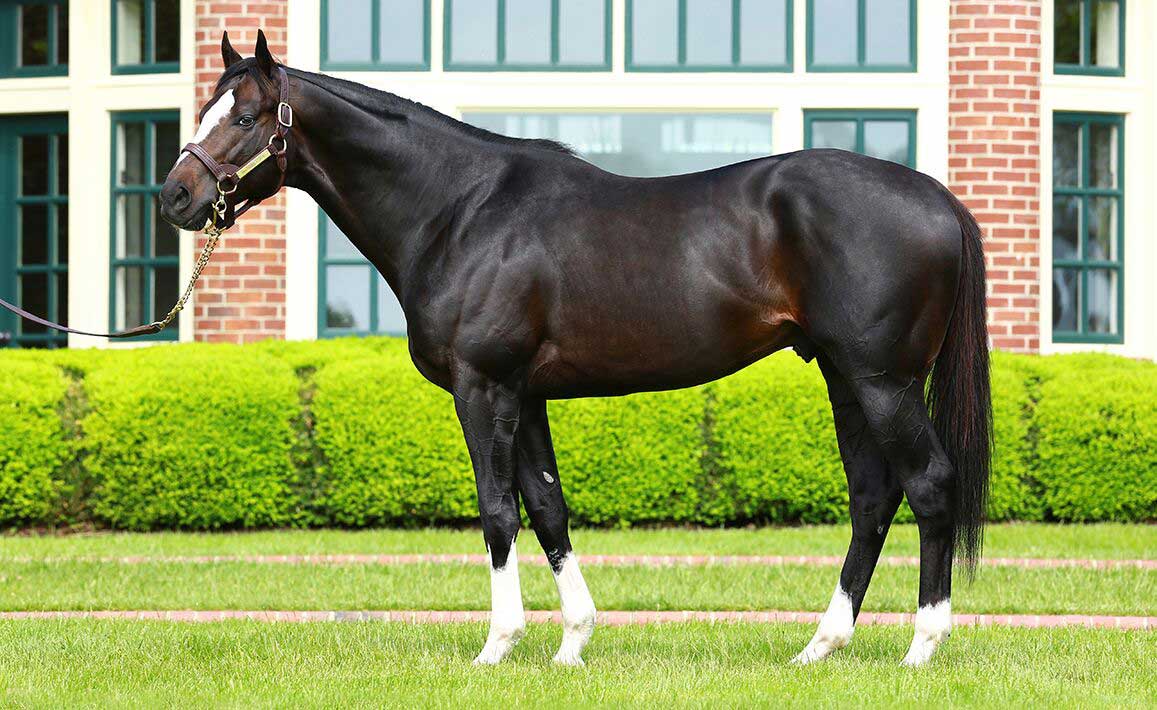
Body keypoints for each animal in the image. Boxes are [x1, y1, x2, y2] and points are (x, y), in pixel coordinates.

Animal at [160, 31, 992, 668]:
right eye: (205, 109)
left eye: (245, 116)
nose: (175, 197)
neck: (460, 211)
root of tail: (938, 198)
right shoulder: (525, 395)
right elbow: (548, 508)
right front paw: (571, 644)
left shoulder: (484, 388)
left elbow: (497, 509)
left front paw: (496, 645)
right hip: (845, 379)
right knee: (871, 498)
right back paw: (819, 647)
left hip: (882, 381)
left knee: (928, 485)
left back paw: (921, 647)